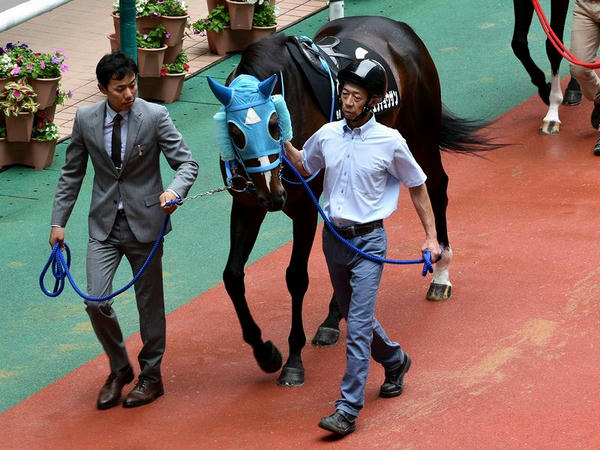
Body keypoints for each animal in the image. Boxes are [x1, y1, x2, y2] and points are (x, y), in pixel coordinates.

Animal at [210, 15, 496, 384]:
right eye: (235, 133)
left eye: (274, 124)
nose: (273, 197)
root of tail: (396, 25)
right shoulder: (247, 204)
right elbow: (232, 276)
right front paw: (266, 353)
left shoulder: (303, 207)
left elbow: (296, 276)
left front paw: (293, 360)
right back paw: (334, 318)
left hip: (420, 133)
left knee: (436, 187)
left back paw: (441, 274)